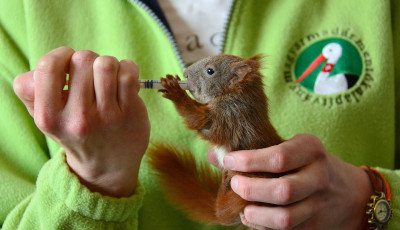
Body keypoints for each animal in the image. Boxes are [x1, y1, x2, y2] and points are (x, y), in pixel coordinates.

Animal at [146, 54, 282, 226]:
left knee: (223, 214)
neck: (236, 93)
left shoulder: (231, 115)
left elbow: (199, 119)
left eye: (210, 71)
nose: (185, 74)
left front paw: (175, 91)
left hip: (243, 193)